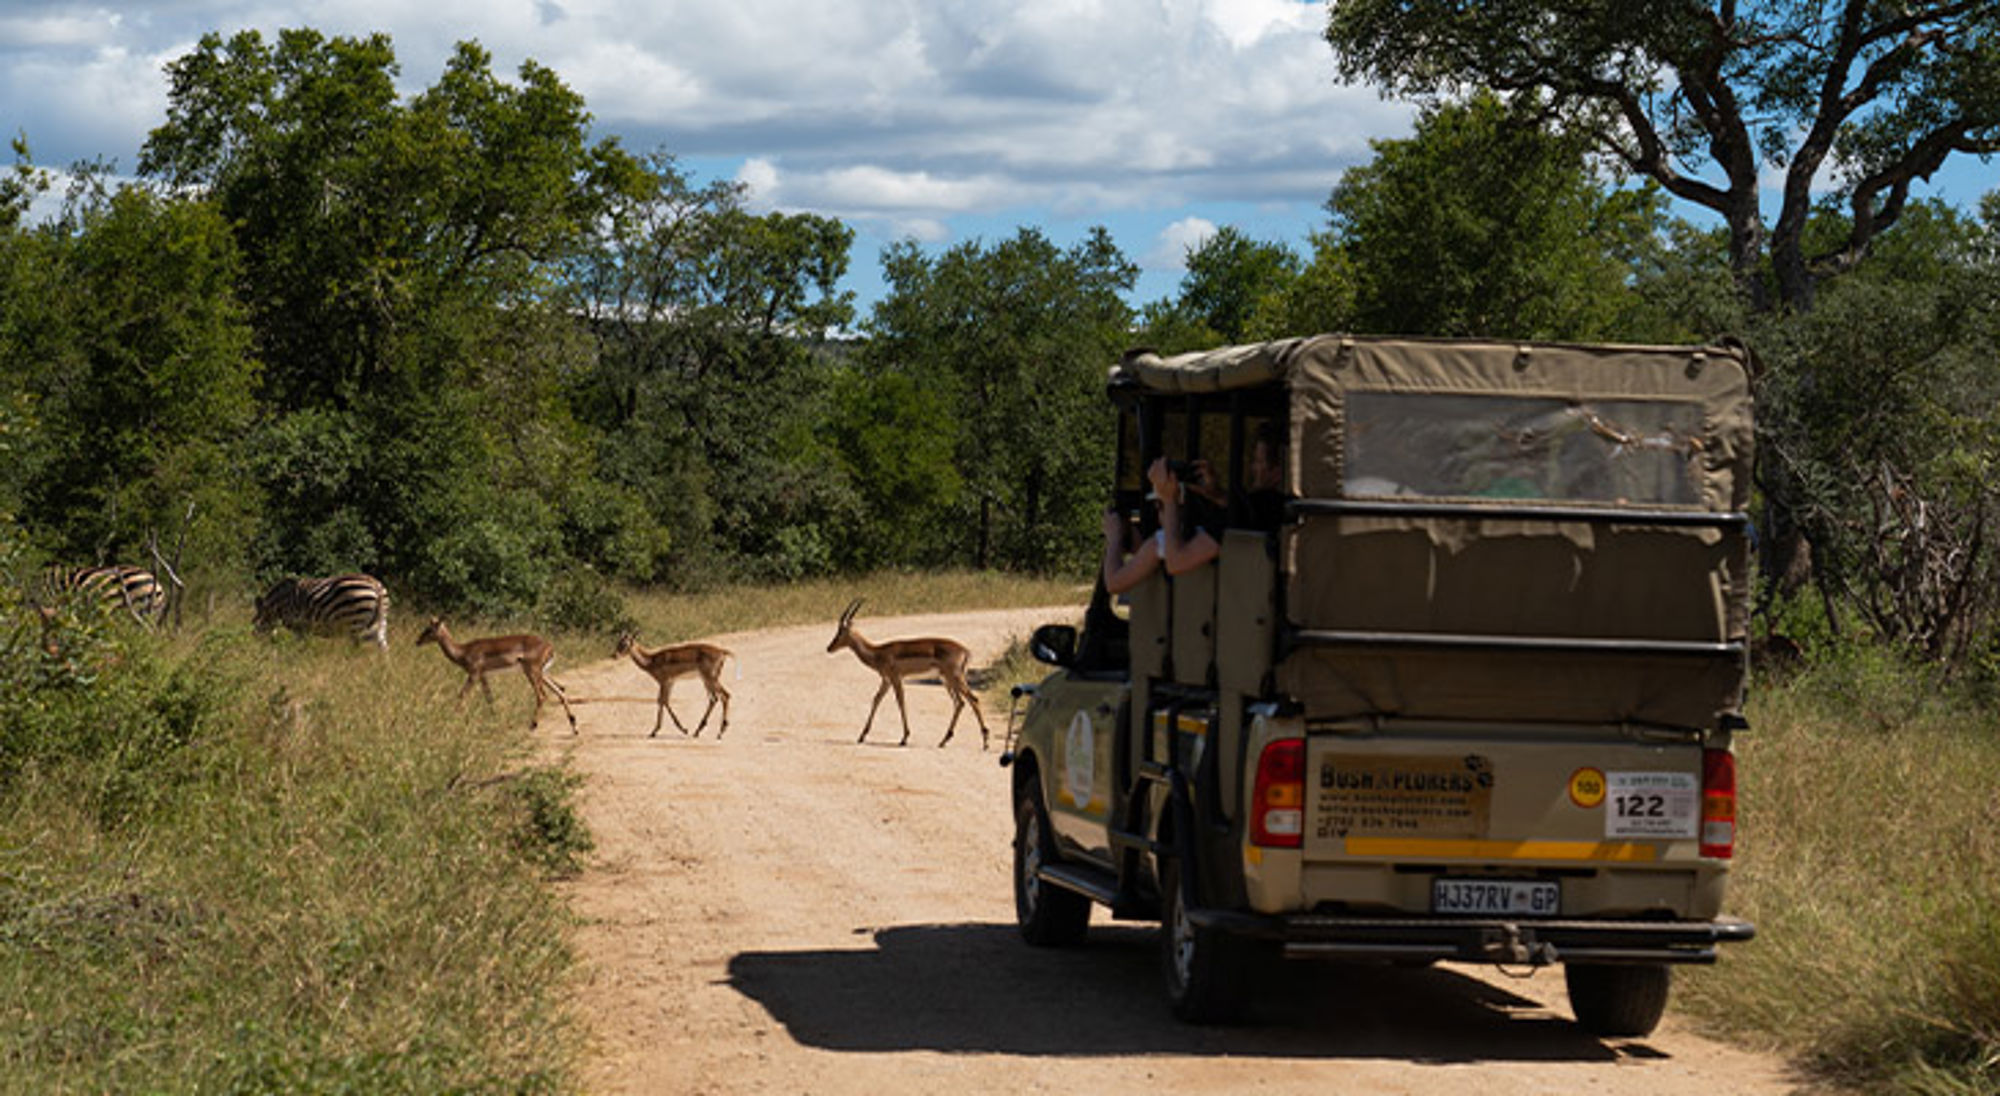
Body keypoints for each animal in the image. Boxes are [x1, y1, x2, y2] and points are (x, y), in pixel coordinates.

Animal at [253, 573, 390, 649]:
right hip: (379, 622)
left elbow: (301, 645)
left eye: (254, 625)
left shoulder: (300, 626)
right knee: (383, 648)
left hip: (354, 623)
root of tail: (375, 585)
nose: (255, 649)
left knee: (356, 647)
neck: (281, 604)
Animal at [416, 617, 578, 733]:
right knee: (561, 691)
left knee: (542, 695)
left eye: (429, 629)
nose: (417, 641)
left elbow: (462, 694)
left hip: (532, 672)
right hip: (542, 674)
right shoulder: (483, 676)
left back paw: (533, 726)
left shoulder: (474, 674)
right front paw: (495, 719)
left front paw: (453, 719)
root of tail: (550, 647)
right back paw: (574, 727)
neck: (463, 651)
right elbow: (489, 698)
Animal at [825, 598, 989, 749]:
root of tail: (965, 651)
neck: (878, 652)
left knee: (973, 699)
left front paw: (904, 738)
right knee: (960, 703)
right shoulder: (886, 680)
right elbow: (876, 699)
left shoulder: (895, 678)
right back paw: (943, 741)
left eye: (840, 631)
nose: (829, 647)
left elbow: (900, 702)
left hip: (955, 678)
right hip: (947, 680)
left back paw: (985, 743)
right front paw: (861, 736)